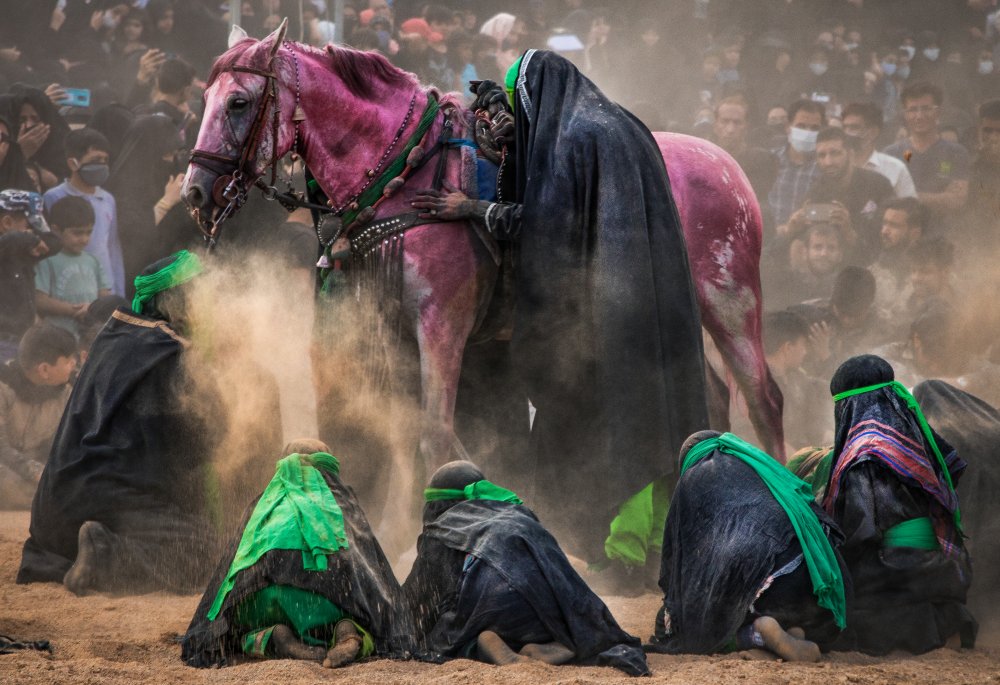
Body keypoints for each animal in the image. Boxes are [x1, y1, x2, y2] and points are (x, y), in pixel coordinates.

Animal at [184, 22, 784, 476]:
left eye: (238, 102)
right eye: (206, 99)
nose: (195, 191)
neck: (400, 174)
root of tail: (726, 165)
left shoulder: (441, 327)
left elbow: (434, 436)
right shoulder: (390, 331)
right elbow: (417, 436)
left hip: (730, 301)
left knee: (764, 397)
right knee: (713, 392)